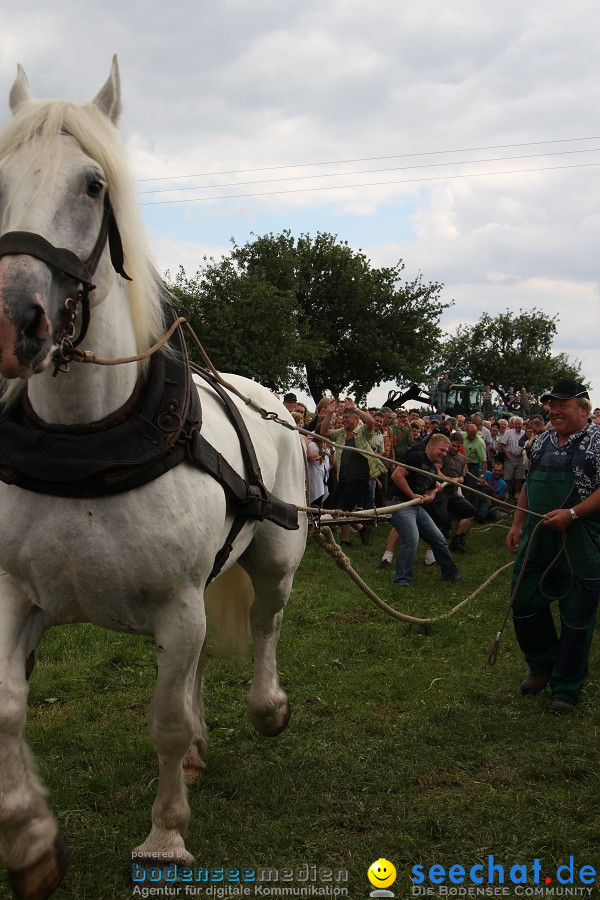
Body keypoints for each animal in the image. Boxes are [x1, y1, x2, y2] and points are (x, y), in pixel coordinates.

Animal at [0, 59, 308, 896]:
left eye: (92, 185)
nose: (13, 319)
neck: (89, 440)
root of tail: (270, 396)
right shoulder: (16, 595)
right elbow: (7, 709)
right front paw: (32, 841)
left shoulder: (176, 604)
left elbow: (164, 722)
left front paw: (166, 836)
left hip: (275, 556)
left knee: (266, 623)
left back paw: (267, 707)